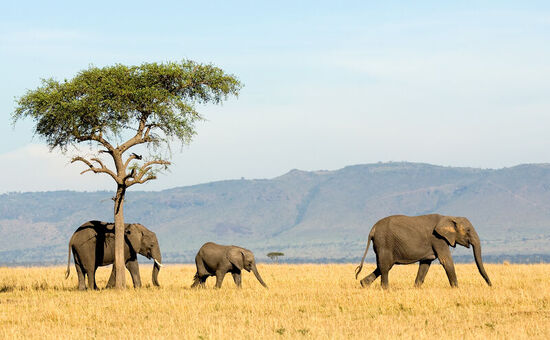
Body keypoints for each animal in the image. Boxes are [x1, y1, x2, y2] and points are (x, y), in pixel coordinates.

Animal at [356, 214, 494, 288]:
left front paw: (415, 288)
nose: (490, 285)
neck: (449, 217)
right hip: (385, 242)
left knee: (382, 266)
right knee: (385, 266)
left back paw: (363, 284)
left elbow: (425, 264)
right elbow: (446, 261)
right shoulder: (438, 239)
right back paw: (385, 289)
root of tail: (372, 229)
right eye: (468, 230)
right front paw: (456, 289)